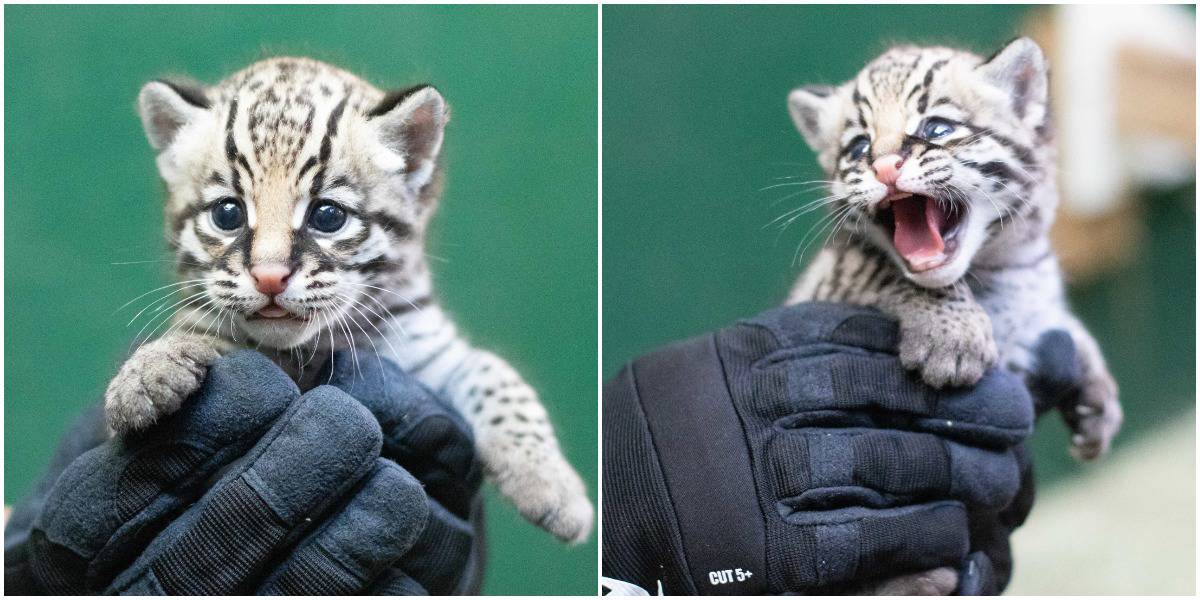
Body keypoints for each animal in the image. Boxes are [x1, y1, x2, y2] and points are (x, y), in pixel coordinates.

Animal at [105, 56, 592, 544]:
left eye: (328, 216)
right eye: (228, 214)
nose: (269, 277)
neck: (312, 346)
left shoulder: (426, 347)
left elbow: (496, 373)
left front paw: (550, 483)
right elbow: (200, 332)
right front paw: (147, 373)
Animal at [787, 38, 1123, 595]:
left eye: (936, 128)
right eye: (858, 147)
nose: (884, 168)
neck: (1000, 265)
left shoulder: (1035, 297)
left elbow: (1064, 325)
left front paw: (1099, 398)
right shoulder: (834, 276)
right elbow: (880, 268)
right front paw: (953, 339)